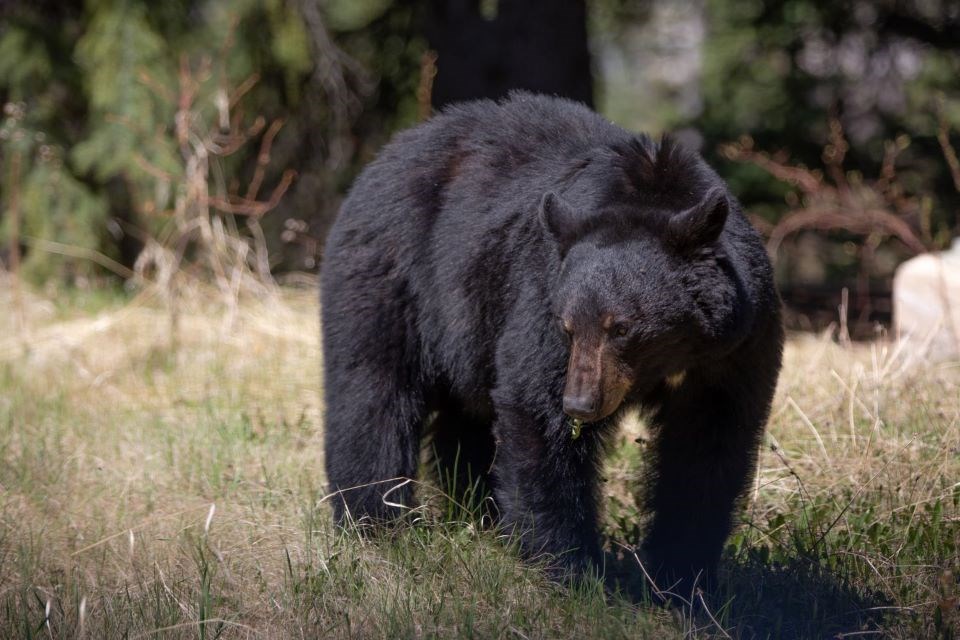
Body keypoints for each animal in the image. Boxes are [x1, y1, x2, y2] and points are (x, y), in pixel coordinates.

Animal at [318, 92, 784, 592]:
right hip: (395, 279)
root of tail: (386, 154)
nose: (580, 403)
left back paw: (478, 516)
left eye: (622, 327)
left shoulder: (735, 348)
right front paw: (570, 570)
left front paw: (682, 578)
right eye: (567, 325)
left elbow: (708, 446)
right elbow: (537, 410)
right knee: (373, 393)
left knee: (467, 421)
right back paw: (375, 524)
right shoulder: (541, 293)